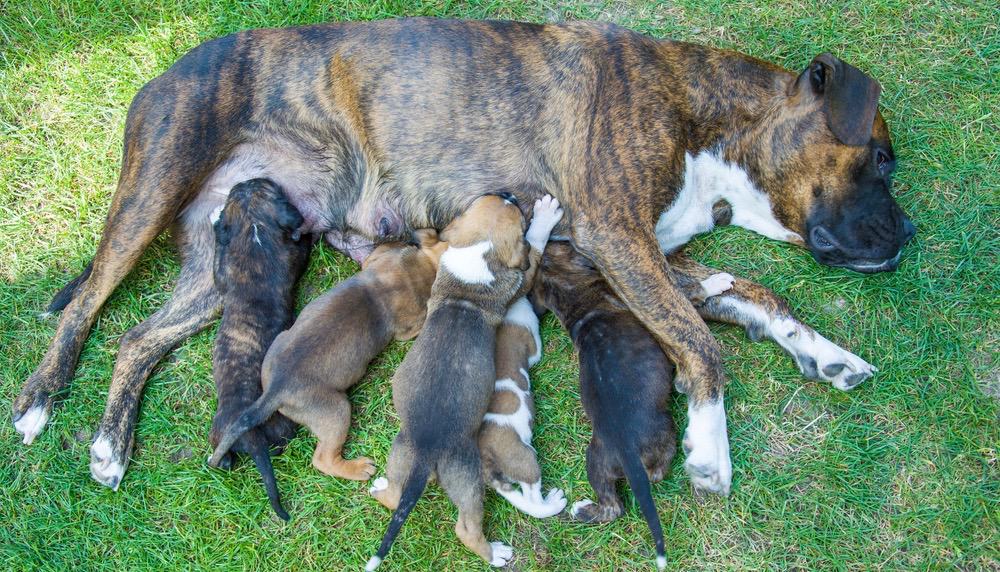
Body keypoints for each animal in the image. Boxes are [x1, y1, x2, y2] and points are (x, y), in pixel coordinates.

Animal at [204, 180, 310, 524]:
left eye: (259, 186)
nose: (242, 182)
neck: (254, 230)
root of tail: (251, 438)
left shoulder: (224, 272)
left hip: (222, 434)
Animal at [532, 242, 736, 572]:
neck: (573, 297)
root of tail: (627, 452)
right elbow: (692, 291)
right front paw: (717, 281)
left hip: (596, 460)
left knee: (611, 506)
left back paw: (582, 510)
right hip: (664, 434)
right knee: (654, 476)